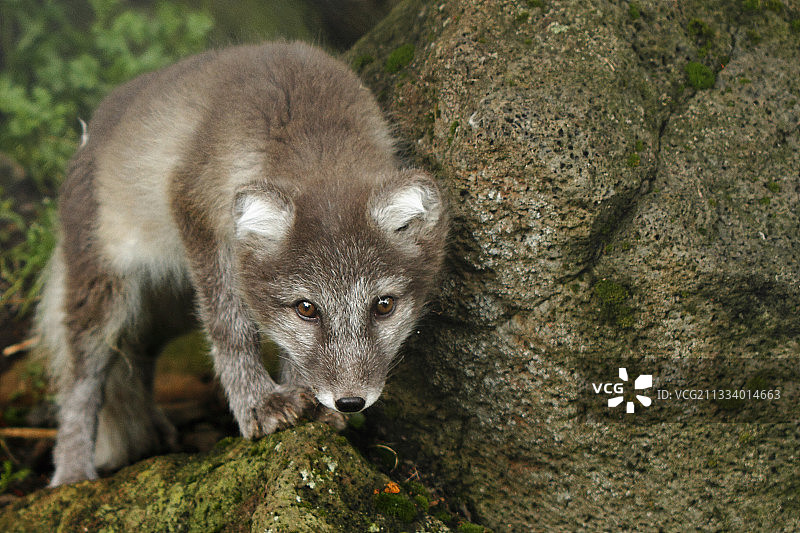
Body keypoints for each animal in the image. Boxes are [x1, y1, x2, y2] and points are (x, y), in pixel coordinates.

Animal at [37, 42, 446, 486]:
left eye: (384, 305)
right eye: (307, 309)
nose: (350, 401)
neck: (308, 132)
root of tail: (90, 132)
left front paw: (309, 401)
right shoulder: (194, 210)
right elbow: (230, 328)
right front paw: (259, 404)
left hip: (167, 308)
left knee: (139, 359)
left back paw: (151, 434)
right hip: (104, 293)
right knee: (80, 379)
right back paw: (72, 473)